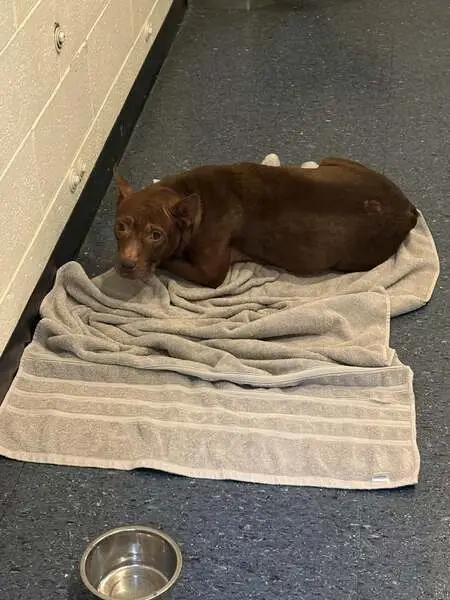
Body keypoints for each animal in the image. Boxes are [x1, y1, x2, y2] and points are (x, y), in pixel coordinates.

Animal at [113, 157, 418, 287]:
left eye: (156, 235)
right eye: (120, 226)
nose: (125, 264)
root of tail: (408, 209)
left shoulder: (211, 273)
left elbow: (172, 261)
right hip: (334, 159)